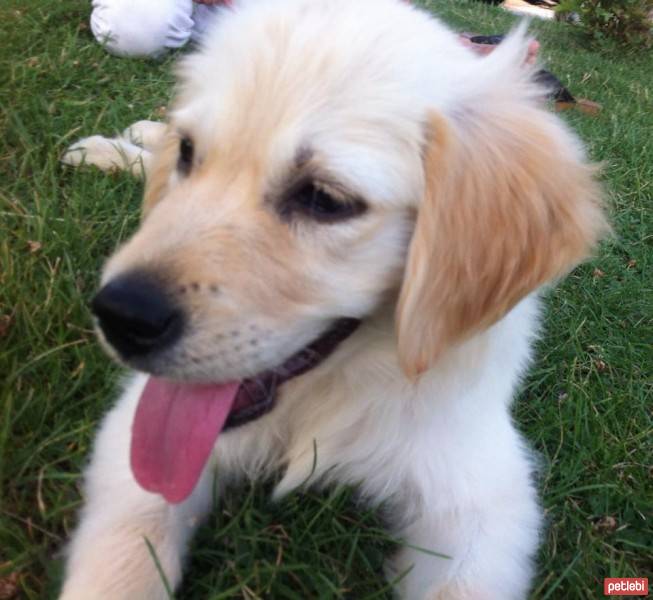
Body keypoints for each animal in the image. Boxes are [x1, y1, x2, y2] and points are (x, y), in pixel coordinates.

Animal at [61, 1, 608, 600]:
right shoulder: (136, 431)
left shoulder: (483, 497)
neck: (330, 391)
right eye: (189, 154)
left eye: (324, 199)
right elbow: (123, 553)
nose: (119, 316)